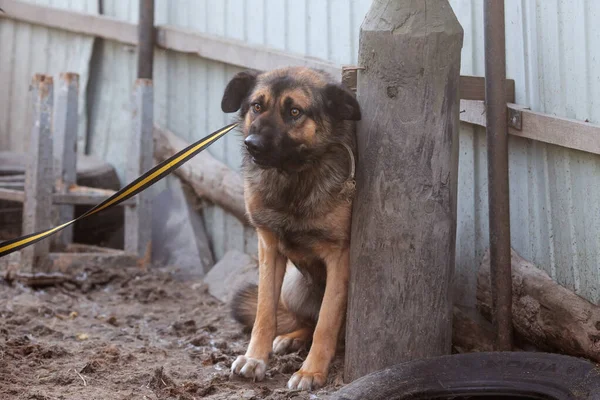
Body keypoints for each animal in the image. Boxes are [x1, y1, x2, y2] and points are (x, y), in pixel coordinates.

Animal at [220, 66, 360, 390]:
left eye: (295, 111)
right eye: (257, 106)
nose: (252, 143)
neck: (293, 177)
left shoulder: (339, 257)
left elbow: (327, 322)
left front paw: (311, 371)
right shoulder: (268, 246)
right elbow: (264, 312)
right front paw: (255, 358)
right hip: (293, 286)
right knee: (304, 320)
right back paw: (291, 338)